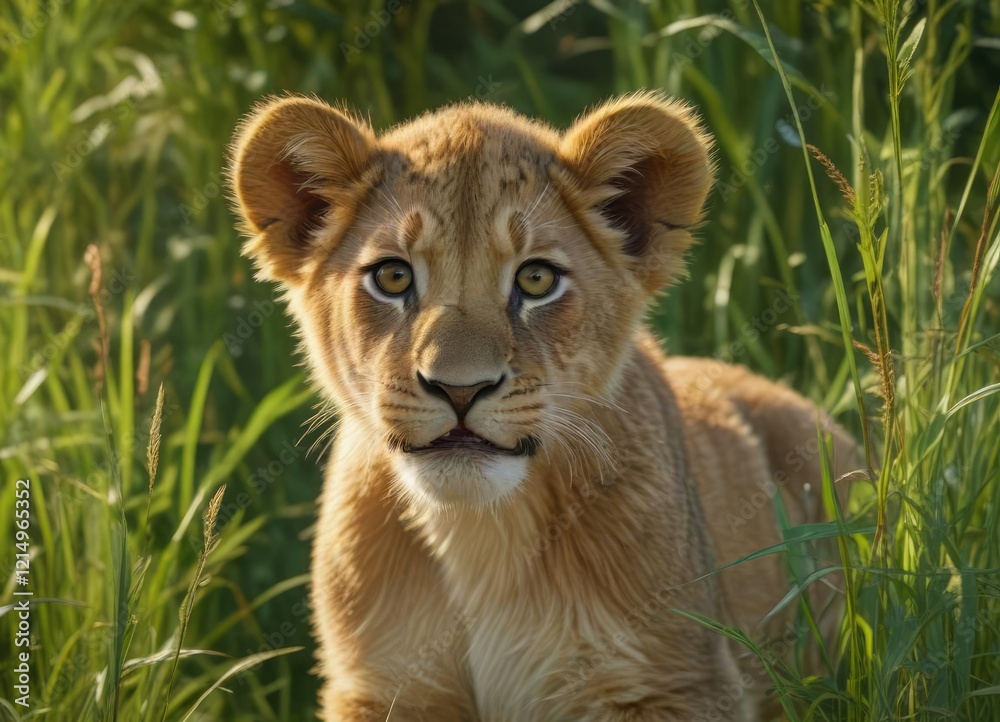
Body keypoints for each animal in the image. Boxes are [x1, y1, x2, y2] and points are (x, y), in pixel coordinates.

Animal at [228, 92, 860, 721]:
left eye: (536, 279)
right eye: (392, 276)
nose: (460, 389)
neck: (476, 531)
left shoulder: (675, 683)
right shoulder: (379, 685)